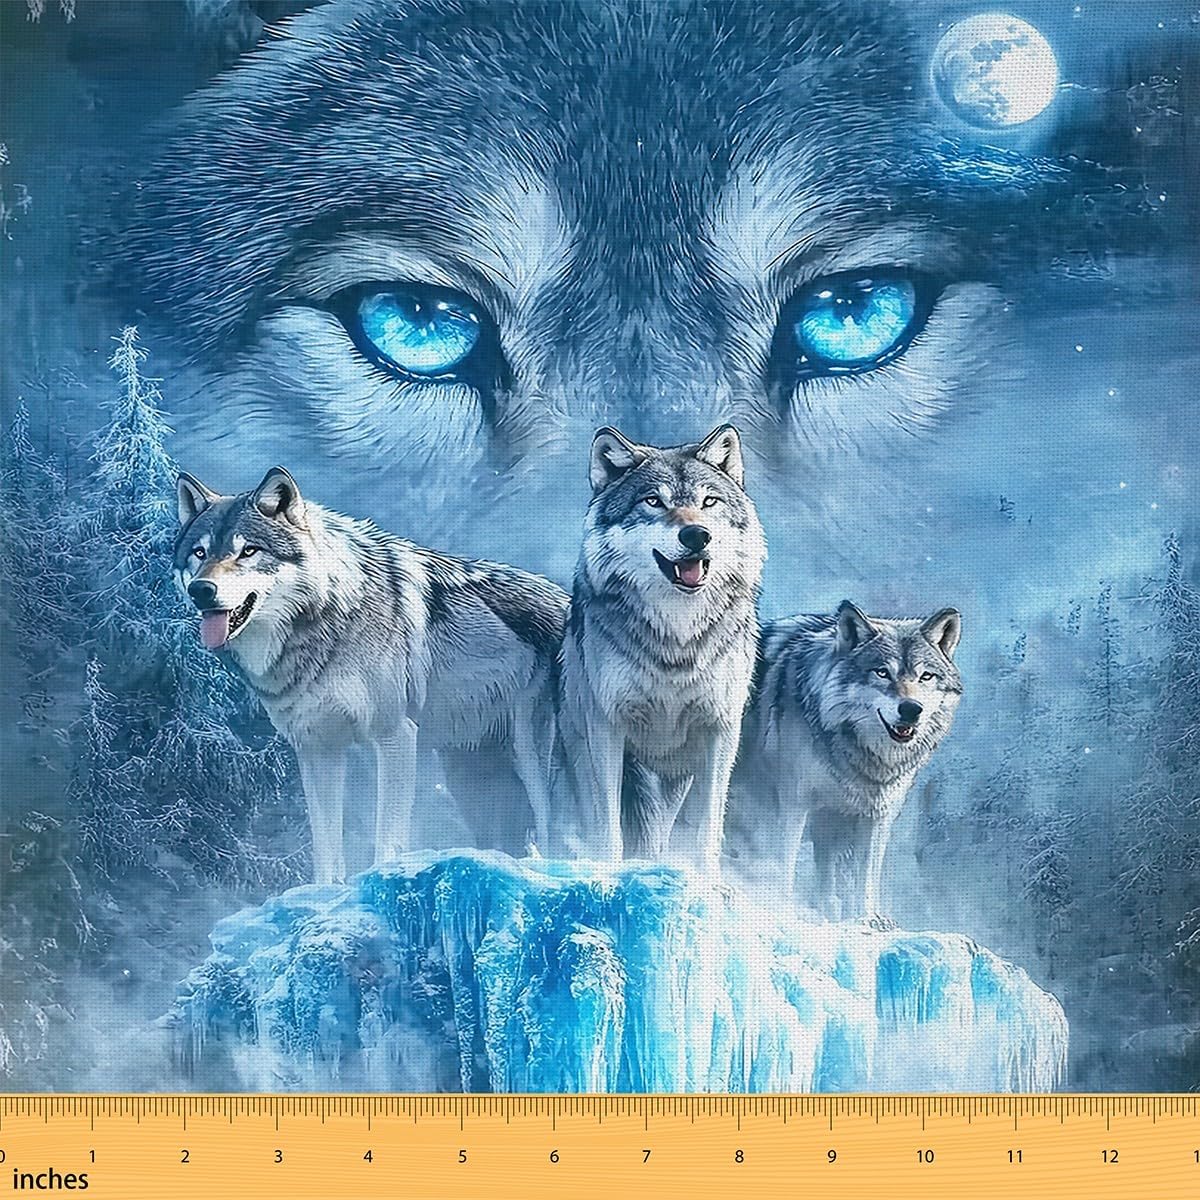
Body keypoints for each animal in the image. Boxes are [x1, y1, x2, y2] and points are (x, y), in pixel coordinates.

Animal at [173, 467, 568, 883]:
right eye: (200, 553)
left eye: (248, 550)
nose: (202, 590)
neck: (327, 622)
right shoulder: (317, 748)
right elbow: (326, 845)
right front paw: (327, 891)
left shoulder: (394, 734)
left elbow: (387, 836)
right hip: (472, 781)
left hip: (533, 758)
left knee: (556, 829)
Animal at [558, 425, 765, 870]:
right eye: (654, 500)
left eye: (708, 502)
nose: (696, 535)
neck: (677, 637)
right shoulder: (607, 728)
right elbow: (609, 829)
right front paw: (611, 874)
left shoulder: (720, 732)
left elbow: (708, 829)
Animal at [734, 601, 962, 920]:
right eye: (882, 672)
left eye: (926, 676)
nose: (911, 709)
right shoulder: (794, 805)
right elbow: (786, 862)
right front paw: (783, 906)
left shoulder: (876, 817)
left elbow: (864, 879)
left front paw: (866, 919)